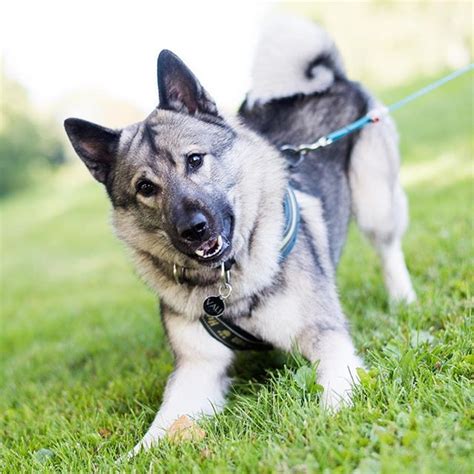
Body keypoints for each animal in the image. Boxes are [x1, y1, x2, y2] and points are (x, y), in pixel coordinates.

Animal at [63, 14, 414, 456]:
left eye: (195, 160)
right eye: (145, 188)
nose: (194, 229)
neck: (229, 286)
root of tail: (330, 79)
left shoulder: (327, 339)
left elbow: (334, 392)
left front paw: (326, 425)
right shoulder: (197, 370)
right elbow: (158, 430)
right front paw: (131, 456)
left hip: (374, 200)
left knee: (389, 250)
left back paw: (403, 299)